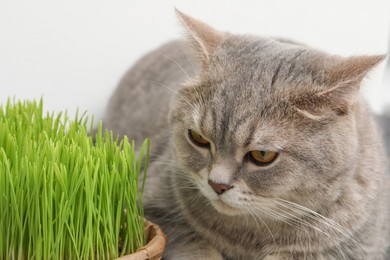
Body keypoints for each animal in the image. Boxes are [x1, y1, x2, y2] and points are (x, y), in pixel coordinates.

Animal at [103, 10, 390, 260]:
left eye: (262, 155)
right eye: (198, 138)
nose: (217, 184)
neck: (249, 238)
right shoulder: (149, 206)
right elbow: (194, 244)